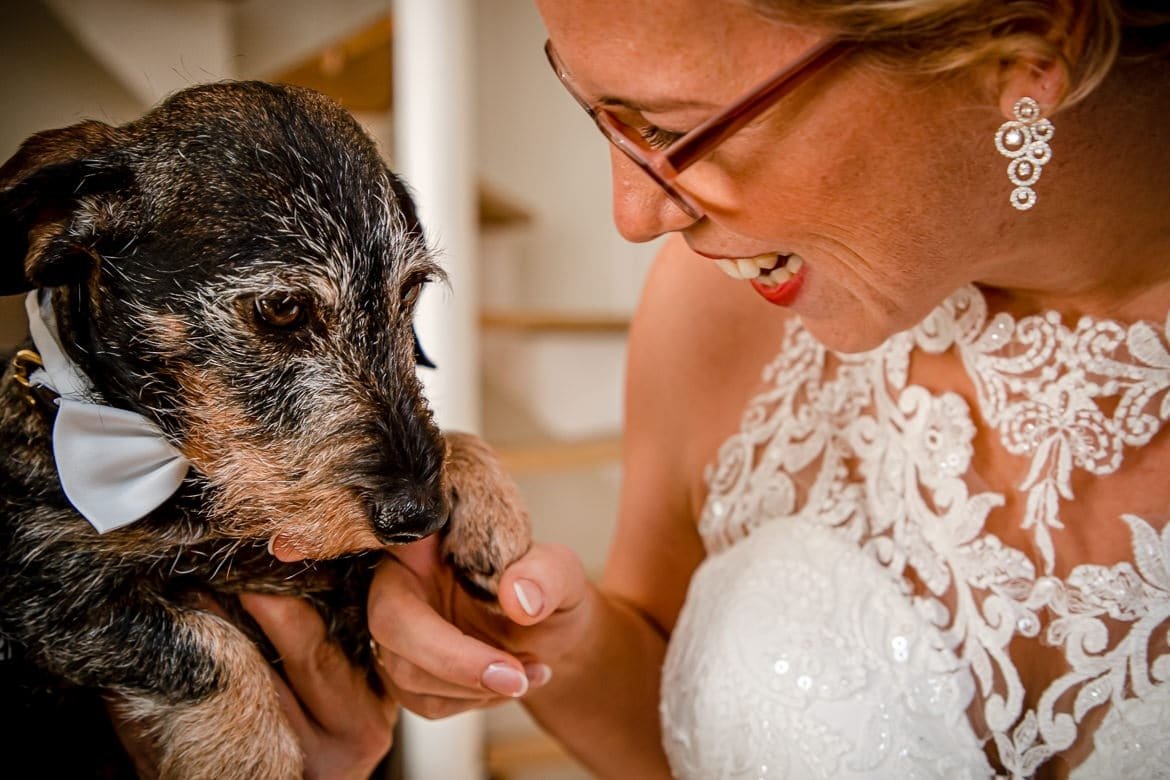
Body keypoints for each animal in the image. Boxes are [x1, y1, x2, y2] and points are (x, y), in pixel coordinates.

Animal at [0, 79, 531, 776]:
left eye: (410, 291)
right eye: (282, 307)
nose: (422, 515)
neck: (187, 476)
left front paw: (490, 502)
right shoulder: (42, 597)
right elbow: (215, 651)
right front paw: (251, 755)